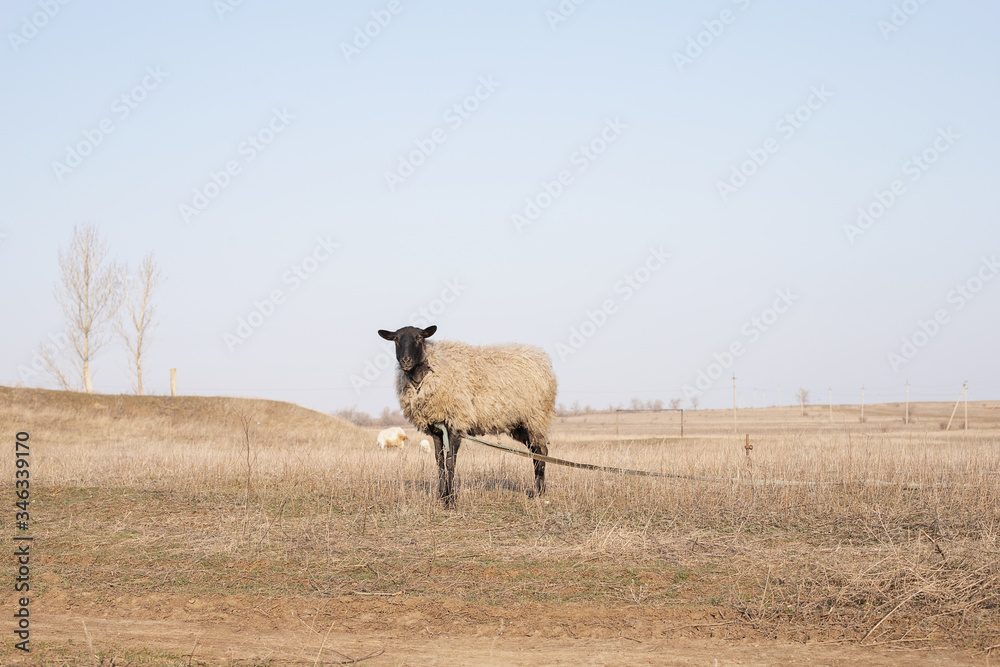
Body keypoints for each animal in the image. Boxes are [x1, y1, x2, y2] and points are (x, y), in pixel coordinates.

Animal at [377, 325, 557, 507]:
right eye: (396, 339)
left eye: (419, 337)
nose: (405, 361)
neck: (426, 374)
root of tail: (542, 358)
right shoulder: (436, 430)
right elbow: (439, 462)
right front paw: (441, 496)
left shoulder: (456, 423)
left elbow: (450, 462)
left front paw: (451, 500)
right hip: (520, 425)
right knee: (535, 453)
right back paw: (539, 491)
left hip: (535, 418)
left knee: (542, 451)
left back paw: (539, 492)